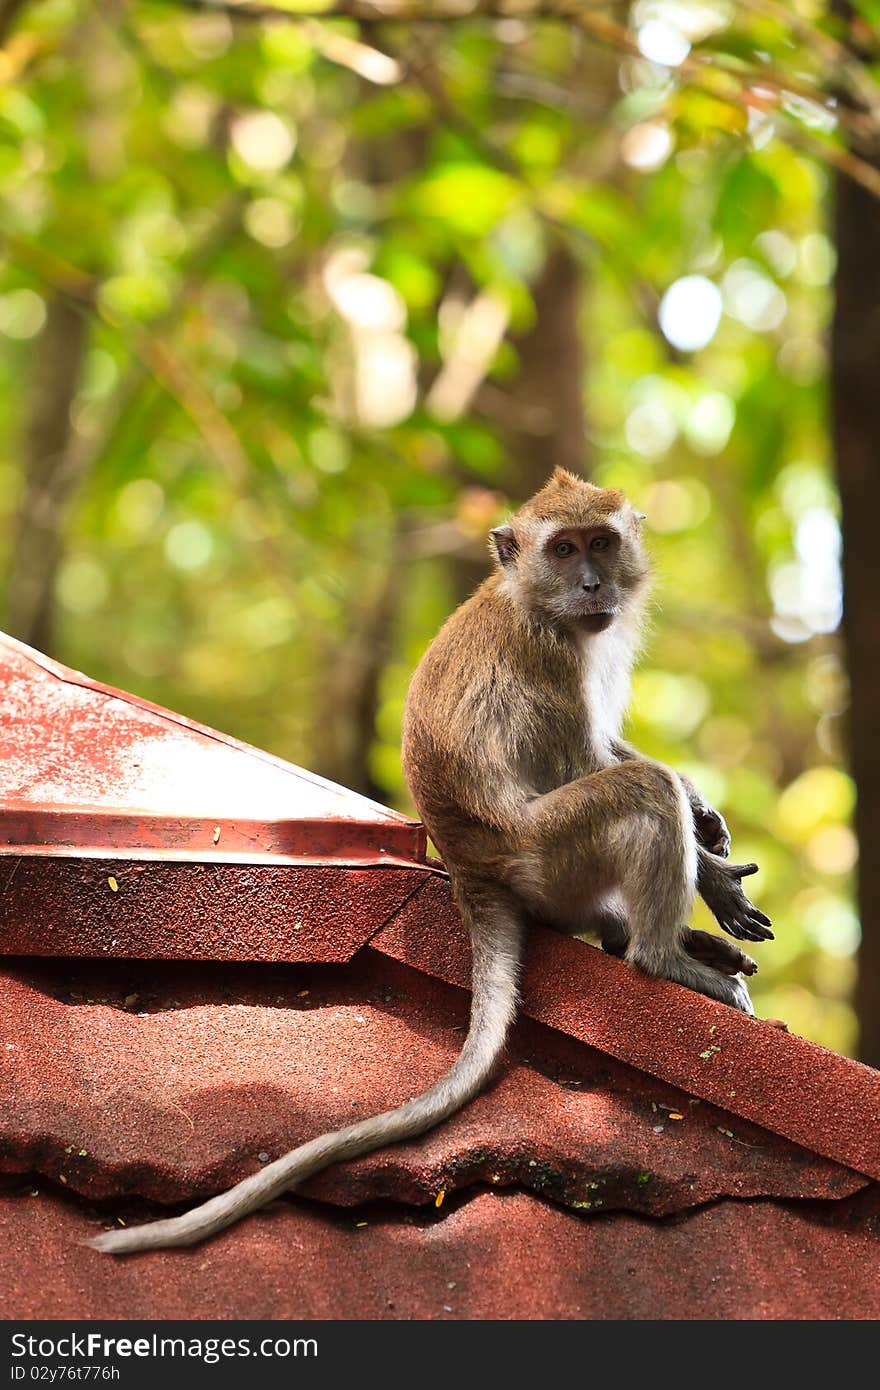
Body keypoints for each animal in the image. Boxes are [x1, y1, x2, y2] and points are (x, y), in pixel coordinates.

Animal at [91, 469, 767, 1262]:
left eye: (601, 543)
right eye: (563, 550)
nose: (593, 583)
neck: (538, 604)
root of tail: (474, 874)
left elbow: (615, 745)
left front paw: (705, 816)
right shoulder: (549, 656)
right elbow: (588, 761)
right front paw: (709, 869)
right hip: (550, 857)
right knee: (637, 794)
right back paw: (662, 957)